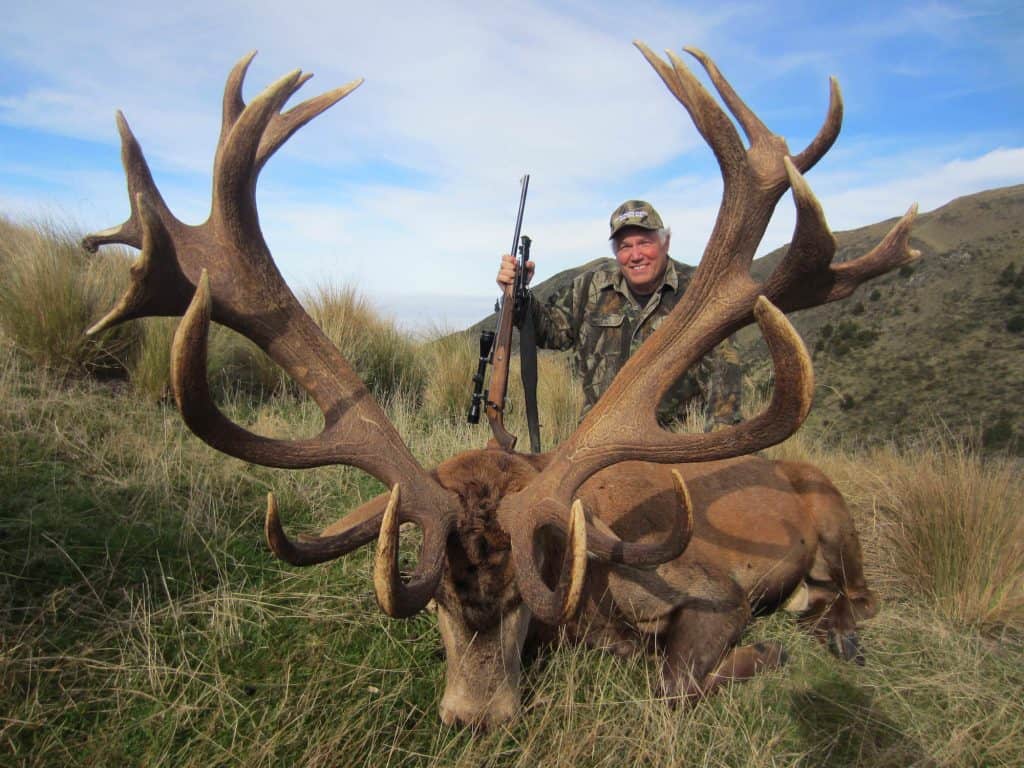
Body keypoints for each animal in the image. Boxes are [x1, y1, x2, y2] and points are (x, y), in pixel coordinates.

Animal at [82, 42, 919, 728]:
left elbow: (672, 679)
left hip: (835, 516)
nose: (475, 718)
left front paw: (758, 656)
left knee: (862, 596)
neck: (591, 598)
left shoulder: (710, 586)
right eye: (440, 602)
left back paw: (827, 631)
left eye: (524, 596)